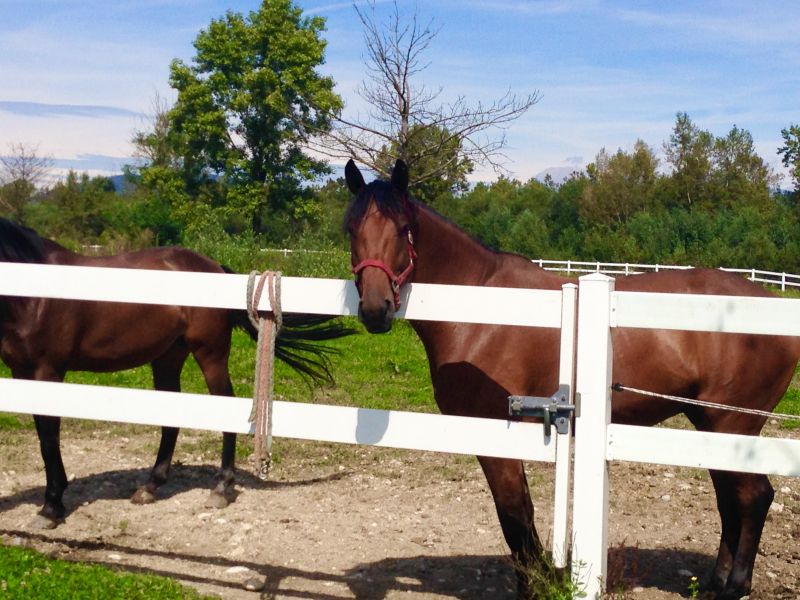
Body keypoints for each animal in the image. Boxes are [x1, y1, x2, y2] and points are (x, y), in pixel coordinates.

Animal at [0, 218, 353, 529]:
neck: (33, 293)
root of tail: (213, 267)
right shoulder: (21, 372)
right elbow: (44, 437)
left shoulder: (48, 372)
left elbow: (49, 439)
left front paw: (51, 507)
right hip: (167, 359)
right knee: (171, 418)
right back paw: (151, 486)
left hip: (210, 354)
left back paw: (221, 488)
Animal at [343, 159, 800, 600]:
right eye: (351, 228)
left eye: (403, 228)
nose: (375, 309)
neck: (484, 310)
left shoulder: (497, 435)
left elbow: (514, 513)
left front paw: (535, 584)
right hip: (709, 426)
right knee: (731, 501)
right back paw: (715, 583)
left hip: (732, 425)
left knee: (753, 497)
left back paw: (735, 586)